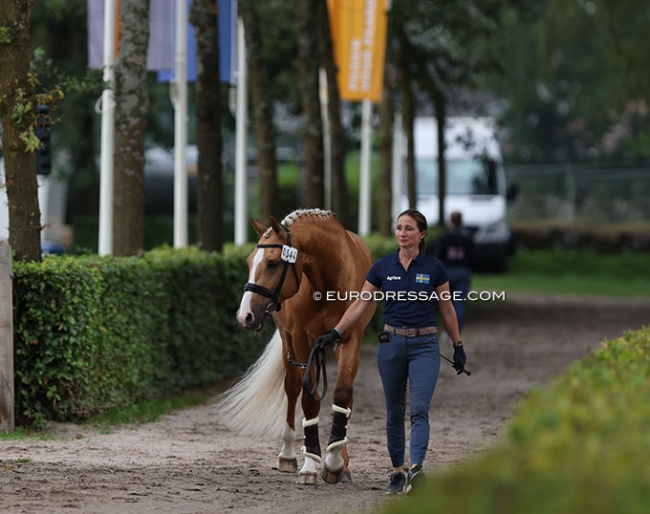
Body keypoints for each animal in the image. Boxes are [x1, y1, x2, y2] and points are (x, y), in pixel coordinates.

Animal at [216, 208, 374, 484]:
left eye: (273, 263)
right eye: (248, 261)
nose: (245, 315)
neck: (327, 284)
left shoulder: (351, 336)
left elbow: (343, 395)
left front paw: (334, 463)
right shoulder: (301, 340)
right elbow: (308, 399)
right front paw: (310, 466)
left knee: (346, 398)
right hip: (288, 344)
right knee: (292, 388)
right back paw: (288, 455)